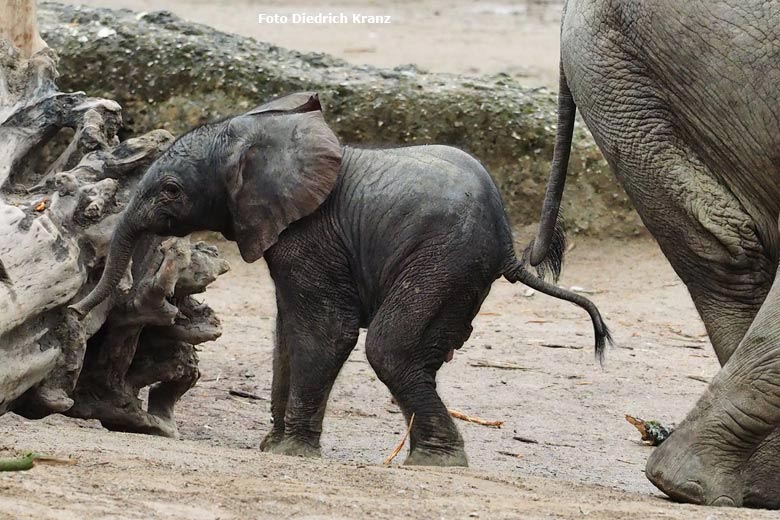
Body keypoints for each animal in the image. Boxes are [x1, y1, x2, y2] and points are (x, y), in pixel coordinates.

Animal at [71, 91, 608, 466]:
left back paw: (438, 461)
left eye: (171, 190)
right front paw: (272, 446)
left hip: (443, 260)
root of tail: (508, 242)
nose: (76, 312)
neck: (261, 139)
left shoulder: (311, 236)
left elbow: (326, 331)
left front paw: (290, 453)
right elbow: (286, 334)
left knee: (391, 349)